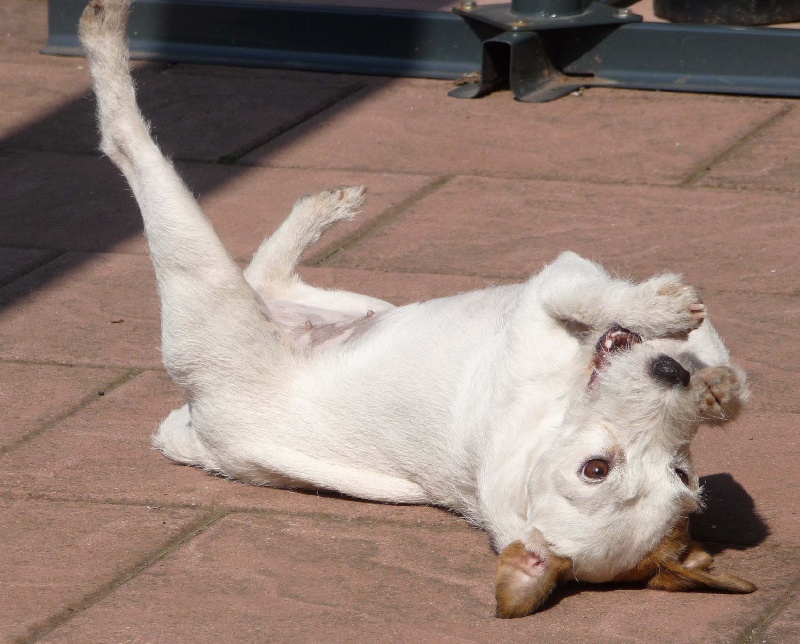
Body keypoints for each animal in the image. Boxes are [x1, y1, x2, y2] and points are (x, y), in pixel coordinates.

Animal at [79, 0, 756, 620]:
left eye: (680, 475)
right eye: (596, 469)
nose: (670, 374)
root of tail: (202, 428)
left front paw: (704, 378)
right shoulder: (554, 286)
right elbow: (623, 307)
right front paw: (685, 348)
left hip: (294, 301)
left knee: (240, 253)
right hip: (266, 293)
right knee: (137, 153)